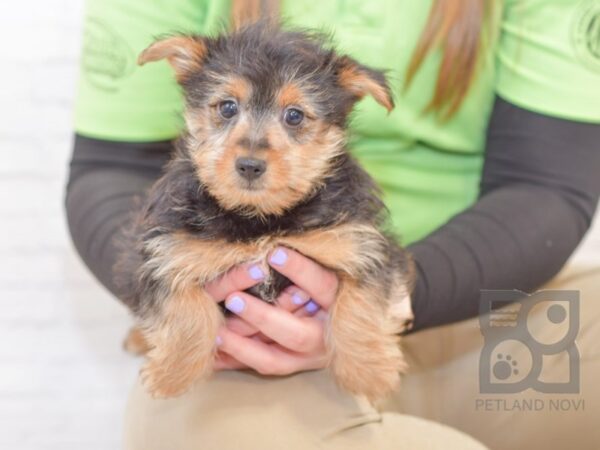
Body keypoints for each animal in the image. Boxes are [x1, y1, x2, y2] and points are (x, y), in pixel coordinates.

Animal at [119, 20, 414, 400]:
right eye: (227, 107)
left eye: (295, 115)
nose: (249, 165)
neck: (262, 219)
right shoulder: (168, 249)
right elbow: (185, 308)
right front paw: (174, 375)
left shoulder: (360, 244)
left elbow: (361, 303)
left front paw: (368, 372)